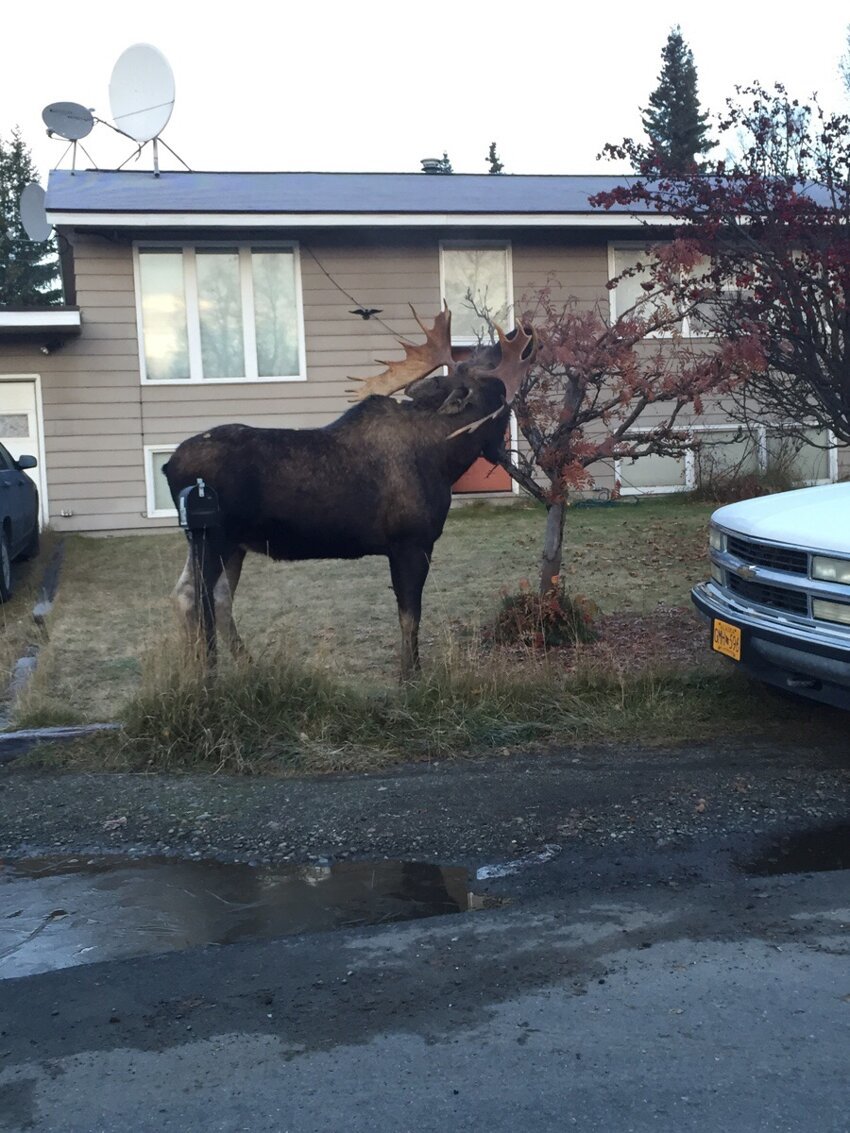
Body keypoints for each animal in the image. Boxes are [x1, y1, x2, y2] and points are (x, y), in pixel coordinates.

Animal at [163, 305, 534, 675]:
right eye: (488, 364)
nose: (524, 331)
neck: (447, 458)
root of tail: (168, 465)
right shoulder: (410, 542)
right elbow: (410, 617)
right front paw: (410, 675)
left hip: (228, 543)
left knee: (202, 595)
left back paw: (237, 666)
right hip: (212, 536)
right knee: (199, 598)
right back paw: (206, 672)